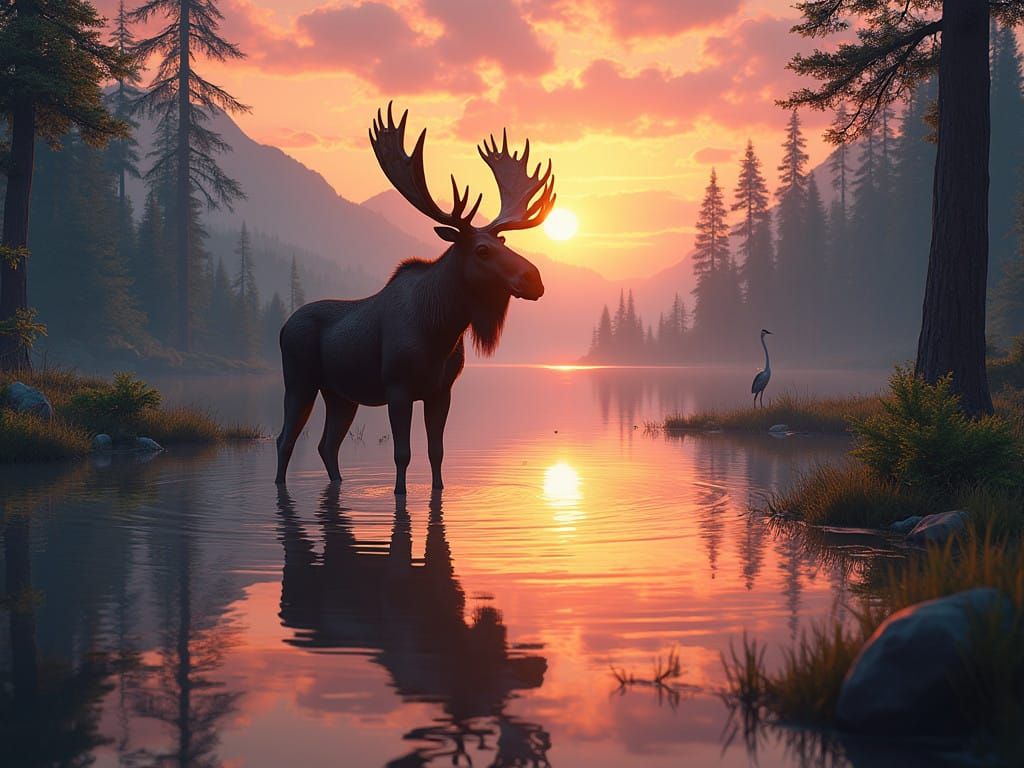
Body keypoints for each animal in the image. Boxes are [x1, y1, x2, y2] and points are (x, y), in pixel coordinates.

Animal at [275, 104, 555, 494]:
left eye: (503, 242)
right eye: (482, 250)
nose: (535, 279)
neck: (440, 329)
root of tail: (283, 327)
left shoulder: (442, 390)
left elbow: (437, 452)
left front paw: (437, 490)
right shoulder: (398, 385)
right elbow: (402, 454)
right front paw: (399, 493)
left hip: (341, 394)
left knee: (326, 444)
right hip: (300, 380)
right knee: (284, 439)